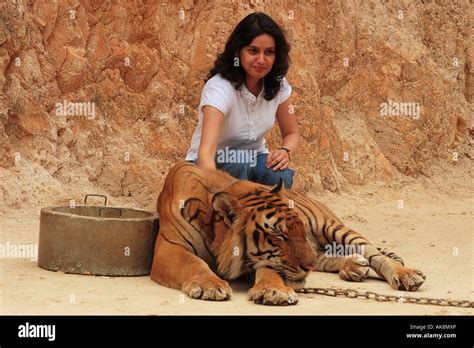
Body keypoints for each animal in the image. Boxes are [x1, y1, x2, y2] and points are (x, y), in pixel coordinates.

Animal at [152, 160, 426, 304]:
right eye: (279, 236)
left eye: (298, 229)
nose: (307, 267)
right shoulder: (169, 248)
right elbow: (193, 264)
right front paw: (210, 285)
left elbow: (270, 270)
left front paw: (275, 291)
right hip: (321, 251)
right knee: (330, 258)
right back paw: (353, 267)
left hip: (333, 227)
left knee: (376, 256)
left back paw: (406, 275)